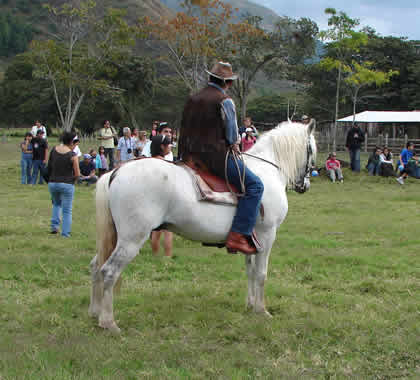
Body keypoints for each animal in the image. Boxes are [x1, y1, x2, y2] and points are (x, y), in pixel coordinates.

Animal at [89, 120, 318, 332]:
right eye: (312, 152)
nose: (305, 186)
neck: (267, 170)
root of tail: (116, 172)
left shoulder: (251, 240)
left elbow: (251, 271)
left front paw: (250, 305)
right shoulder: (267, 234)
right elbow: (261, 274)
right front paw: (262, 310)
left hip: (117, 238)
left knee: (96, 267)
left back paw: (95, 312)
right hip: (132, 239)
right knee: (109, 271)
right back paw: (108, 322)